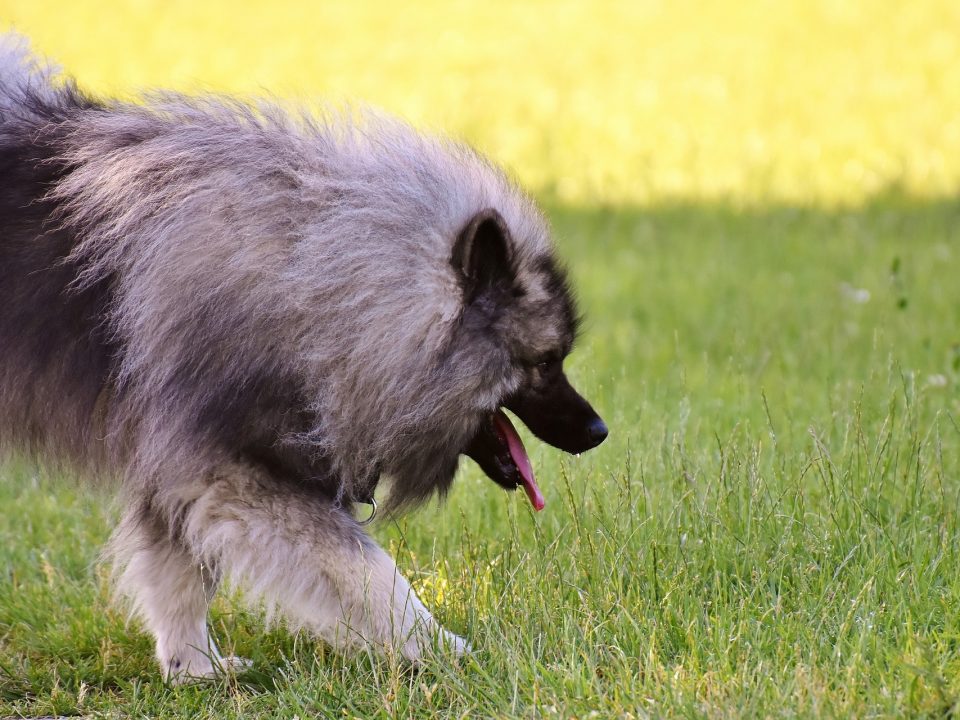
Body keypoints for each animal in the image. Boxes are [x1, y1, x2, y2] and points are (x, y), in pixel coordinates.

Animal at [0, 32, 608, 680]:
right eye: (545, 362)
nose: (599, 430)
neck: (318, 286)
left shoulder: (180, 465)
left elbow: (179, 578)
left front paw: (195, 669)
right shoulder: (233, 472)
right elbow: (370, 571)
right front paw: (442, 649)